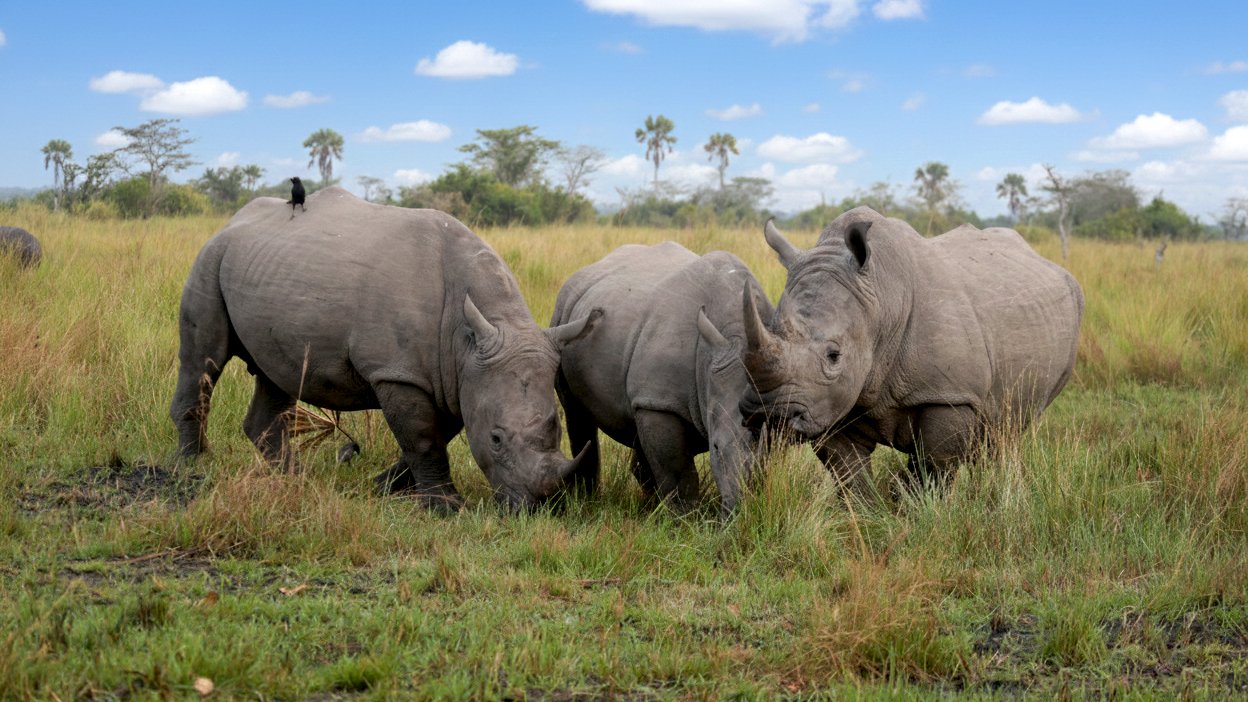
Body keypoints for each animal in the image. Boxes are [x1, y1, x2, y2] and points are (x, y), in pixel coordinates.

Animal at [170, 187, 599, 512]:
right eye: (495, 439)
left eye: (556, 427)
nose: (539, 507)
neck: (474, 332)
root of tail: (232, 221)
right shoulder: (398, 372)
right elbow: (424, 438)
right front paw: (446, 507)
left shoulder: (455, 375)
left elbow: (434, 435)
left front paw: (382, 487)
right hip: (210, 258)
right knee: (203, 359)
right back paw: (193, 465)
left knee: (278, 374)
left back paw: (297, 477)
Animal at [551, 242, 775, 515]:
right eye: (715, 447)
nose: (736, 512)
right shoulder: (659, 400)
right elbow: (677, 472)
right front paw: (684, 517)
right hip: (564, 317)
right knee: (576, 413)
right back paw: (588, 499)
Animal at [740, 207, 1083, 496]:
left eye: (834, 355)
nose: (769, 414)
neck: (880, 298)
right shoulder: (832, 399)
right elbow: (848, 473)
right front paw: (867, 517)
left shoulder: (949, 394)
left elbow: (934, 465)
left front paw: (924, 512)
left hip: (1070, 305)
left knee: (1010, 429)